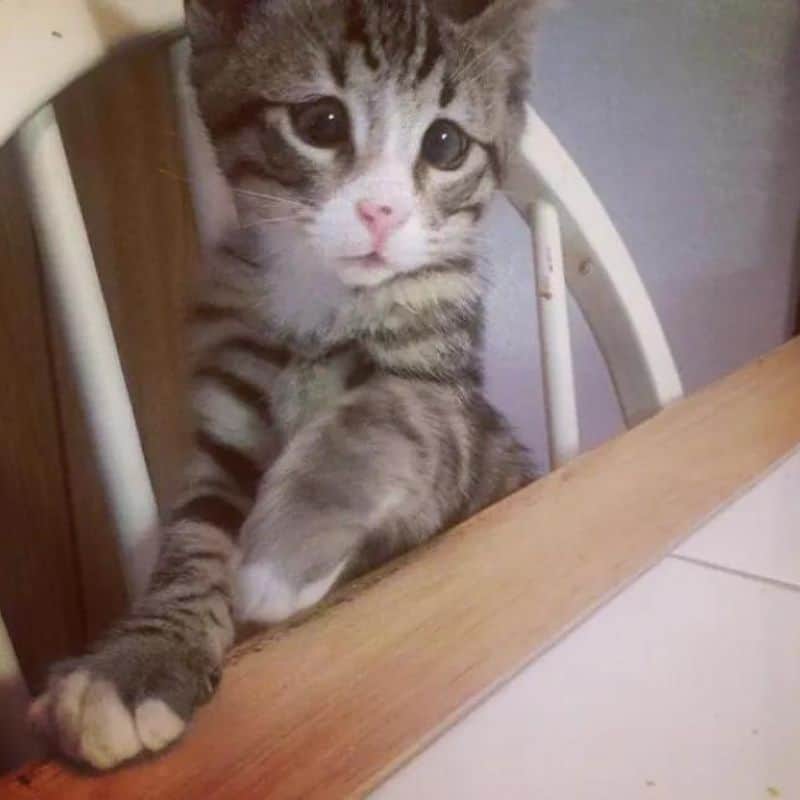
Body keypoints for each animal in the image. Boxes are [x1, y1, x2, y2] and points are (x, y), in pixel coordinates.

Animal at [34, 1, 540, 776]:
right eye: (321, 123)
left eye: (446, 142)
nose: (381, 213)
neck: (323, 307)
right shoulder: (226, 407)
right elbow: (193, 533)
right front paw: (140, 659)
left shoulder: (455, 415)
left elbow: (386, 414)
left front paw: (278, 555)